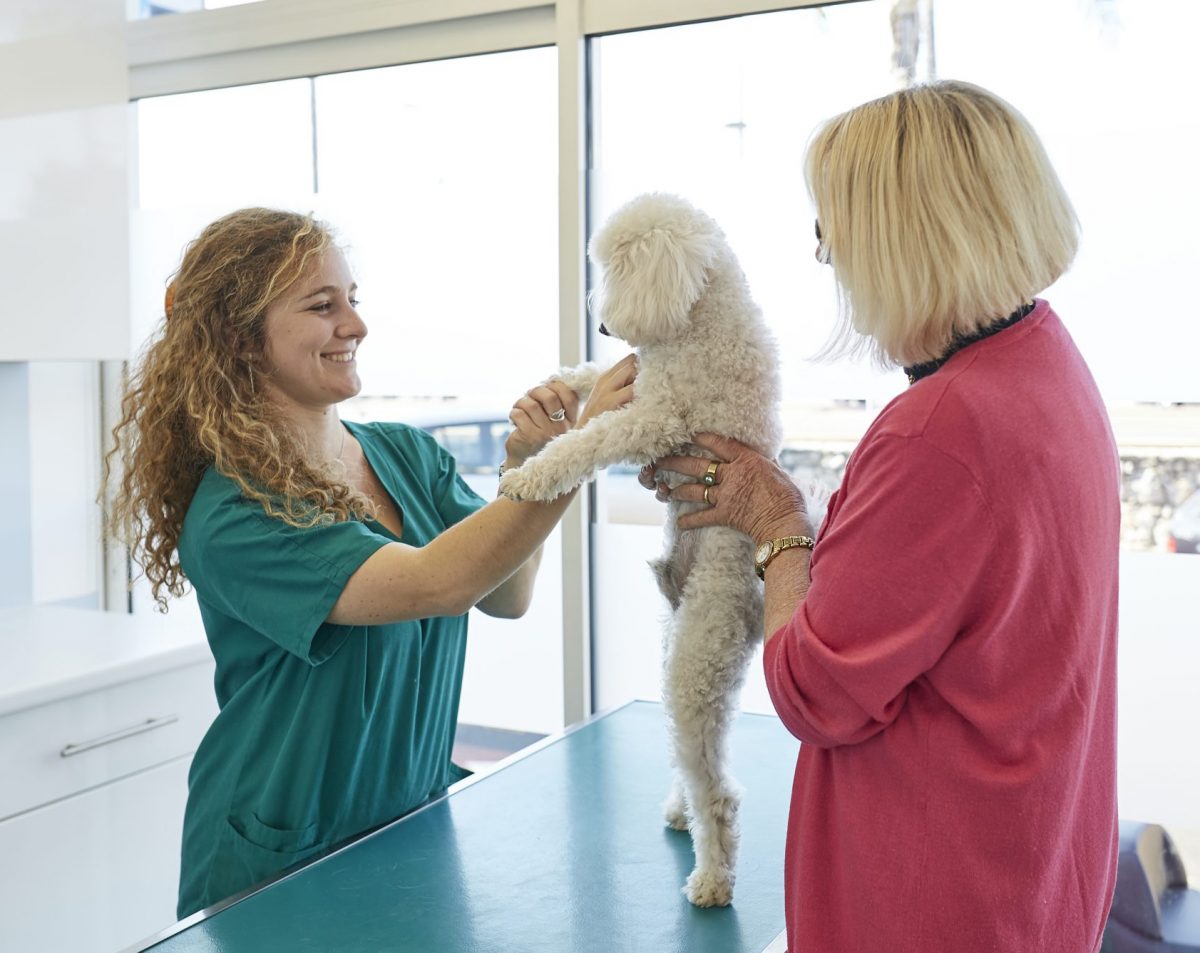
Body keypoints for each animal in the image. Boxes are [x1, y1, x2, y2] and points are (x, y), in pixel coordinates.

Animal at [501, 190, 782, 907]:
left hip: (696, 662)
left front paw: (529, 474)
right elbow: (594, 377)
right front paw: (553, 386)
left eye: (617, 264)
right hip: (672, 642)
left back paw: (711, 877)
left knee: (719, 786)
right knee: (688, 757)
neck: (700, 314)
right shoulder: (636, 379)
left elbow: (587, 440)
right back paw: (682, 809)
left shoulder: (657, 420)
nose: (603, 325)